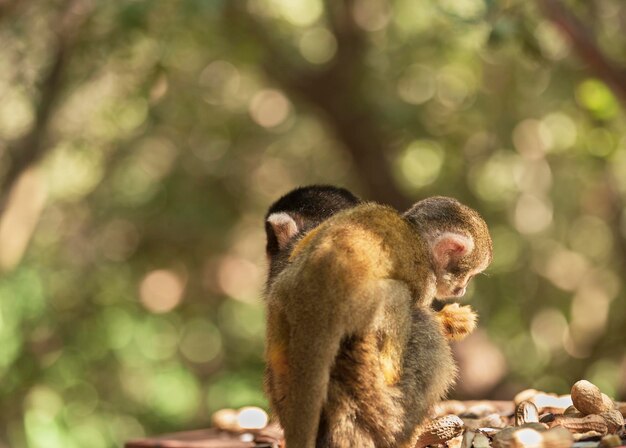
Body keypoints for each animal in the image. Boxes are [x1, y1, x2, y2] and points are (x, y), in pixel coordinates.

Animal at [260, 189, 490, 448]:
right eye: (468, 275)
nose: (462, 289)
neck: (416, 234)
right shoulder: (425, 278)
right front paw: (449, 321)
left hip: (285, 293)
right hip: (358, 303)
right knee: (398, 296)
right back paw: (390, 369)